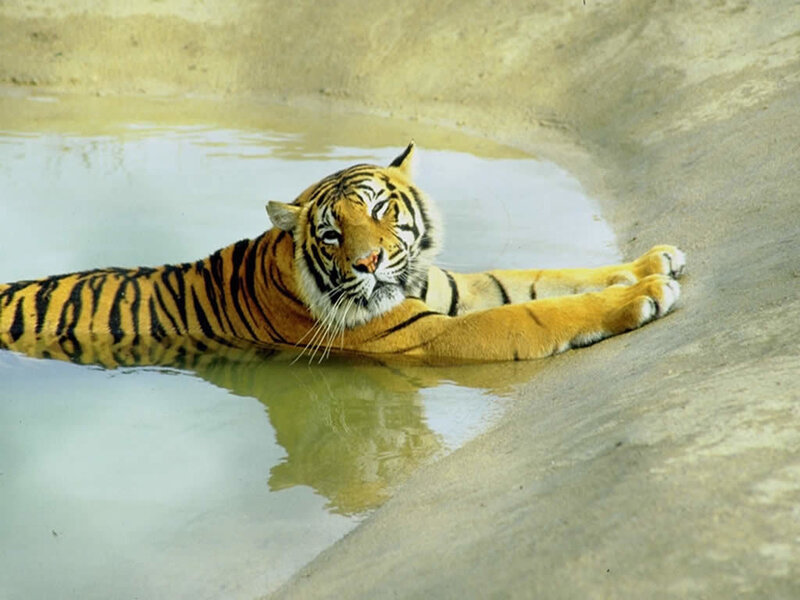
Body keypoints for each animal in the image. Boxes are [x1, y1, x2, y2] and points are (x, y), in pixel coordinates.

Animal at [0, 142, 686, 366]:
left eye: (380, 211)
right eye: (331, 235)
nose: (369, 265)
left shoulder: (447, 288)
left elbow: (542, 277)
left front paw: (655, 260)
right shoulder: (428, 335)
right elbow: (535, 312)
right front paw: (649, 293)